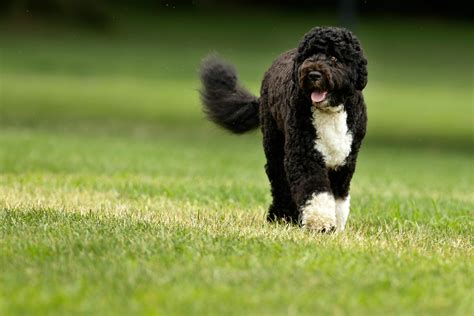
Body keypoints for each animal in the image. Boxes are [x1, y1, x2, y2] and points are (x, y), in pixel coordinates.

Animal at [198, 26, 368, 232]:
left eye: (335, 58)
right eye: (309, 55)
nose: (313, 74)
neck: (330, 112)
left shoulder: (343, 160)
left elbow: (338, 198)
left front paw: (336, 225)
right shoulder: (303, 155)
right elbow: (315, 191)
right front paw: (320, 223)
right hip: (275, 144)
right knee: (279, 181)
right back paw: (281, 216)